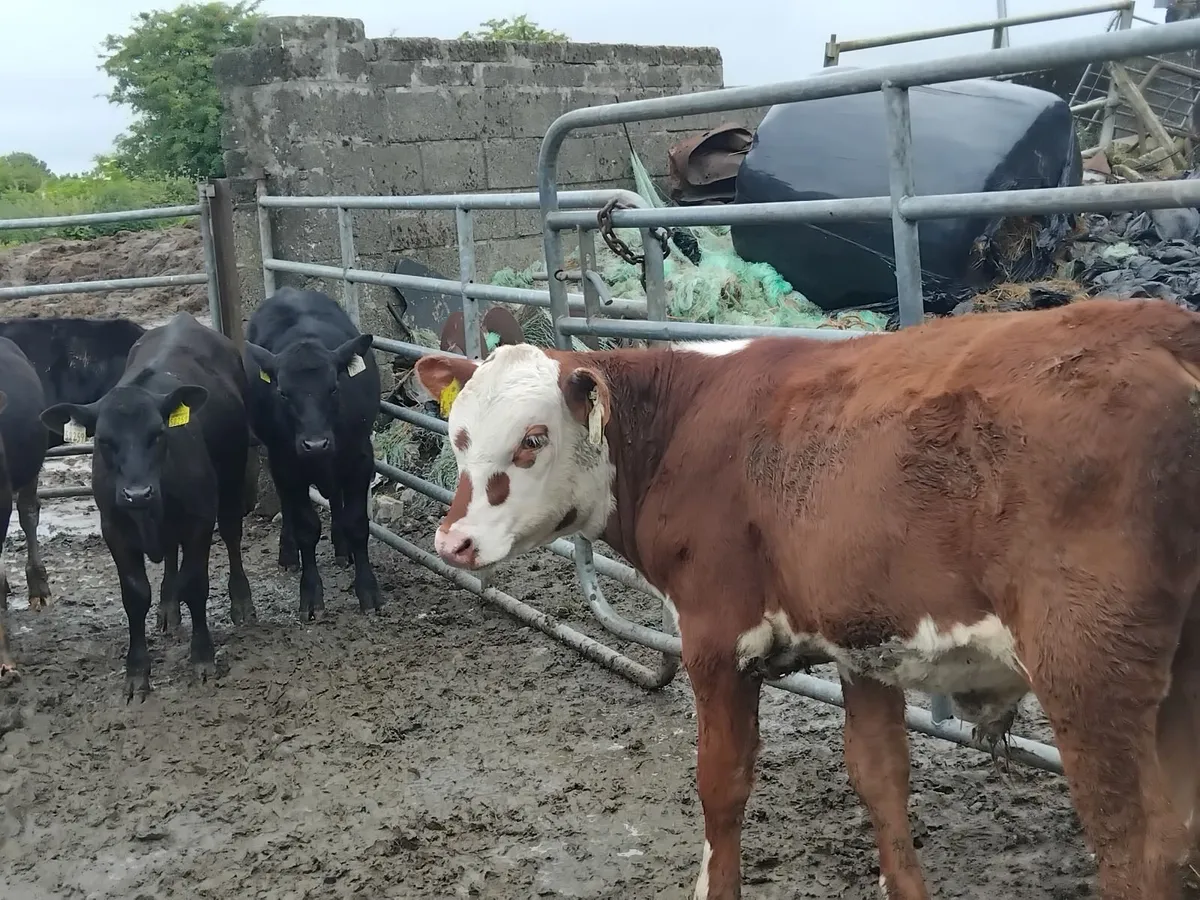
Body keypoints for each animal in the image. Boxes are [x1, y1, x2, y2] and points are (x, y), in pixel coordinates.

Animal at [40, 312, 254, 702]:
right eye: (104, 440)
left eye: (158, 434)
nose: (138, 494)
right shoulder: (115, 530)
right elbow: (135, 596)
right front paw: (137, 672)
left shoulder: (200, 520)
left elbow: (196, 584)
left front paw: (203, 657)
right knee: (170, 554)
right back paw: (168, 608)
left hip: (233, 477)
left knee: (232, 533)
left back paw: (242, 601)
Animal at [242, 287, 381, 621]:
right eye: (282, 393)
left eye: (334, 387)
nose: (316, 444)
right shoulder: (287, 464)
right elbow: (306, 527)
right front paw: (311, 594)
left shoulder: (360, 458)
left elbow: (358, 522)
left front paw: (368, 590)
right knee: (289, 507)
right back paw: (289, 553)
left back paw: (342, 548)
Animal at [413, 297, 1200, 900]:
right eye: (458, 436)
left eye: (532, 438)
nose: (453, 541)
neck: (680, 428)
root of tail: (1164, 329)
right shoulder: (861, 639)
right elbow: (880, 777)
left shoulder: (714, 639)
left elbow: (721, 785)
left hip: (1088, 668)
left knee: (1139, 846)